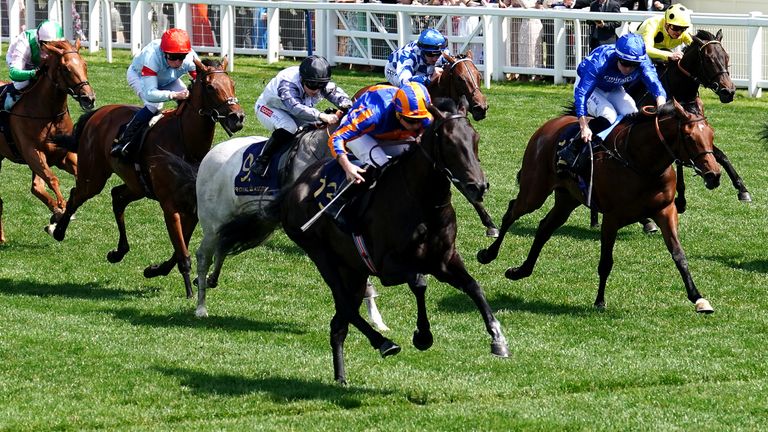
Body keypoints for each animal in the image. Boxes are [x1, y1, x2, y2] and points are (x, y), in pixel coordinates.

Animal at [0, 38, 95, 243]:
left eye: (85, 64)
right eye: (66, 68)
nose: (89, 98)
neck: (48, 114)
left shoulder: (63, 155)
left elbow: (77, 176)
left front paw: (60, 213)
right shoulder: (32, 153)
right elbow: (52, 179)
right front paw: (61, 207)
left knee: (36, 187)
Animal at [49, 59, 242, 298]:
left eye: (232, 84)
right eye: (210, 87)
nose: (237, 118)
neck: (186, 145)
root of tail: (98, 113)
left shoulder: (192, 207)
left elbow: (180, 249)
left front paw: (155, 270)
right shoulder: (170, 206)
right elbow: (182, 251)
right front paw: (189, 291)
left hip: (137, 185)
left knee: (117, 196)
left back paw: (118, 252)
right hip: (93, 177)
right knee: (77, 195)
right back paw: (58, 231)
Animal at [164, 125, 388, 330]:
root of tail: (209, 156)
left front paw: (377, 319)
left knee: (224, 246)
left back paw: (210, 281)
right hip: (214, 224)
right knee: (204, 255)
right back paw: (201, 307)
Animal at [216, 98, 508, 384]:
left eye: (475, 138)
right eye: (448, 142)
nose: (478, 186)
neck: (422, 202)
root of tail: (292, 189)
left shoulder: (444, 259)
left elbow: (474, 286)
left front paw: (498, 339)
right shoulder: (387, 266)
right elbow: (419, 282)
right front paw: (423, 335)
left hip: (353, 271)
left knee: (339, 322)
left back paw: (341, 378)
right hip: (322, 257)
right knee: (345, 306)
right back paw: (384, 343)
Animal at [476, 98, 724, 314]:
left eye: (711, 134)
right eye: (690, 137)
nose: (714, 175)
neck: (640, 162)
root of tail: (546, 127)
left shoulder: (666, 211)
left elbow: (679, 255)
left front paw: (698, 298)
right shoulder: (611, 218)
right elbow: (606, 261)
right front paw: (599, 301)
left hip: (568, 198)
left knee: (545, 227)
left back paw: (520, 271)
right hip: (534, 191)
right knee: (512, 212)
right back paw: (488, 254)